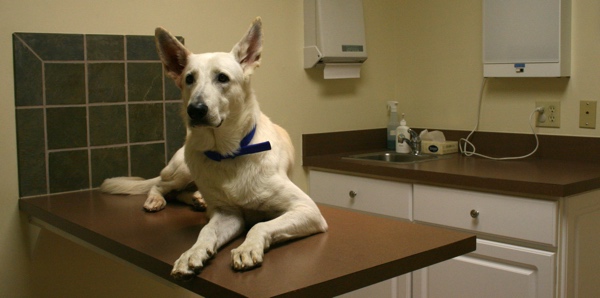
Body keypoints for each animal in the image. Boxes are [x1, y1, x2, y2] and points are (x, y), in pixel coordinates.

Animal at [147, 18, 326, 280]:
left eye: (222, 78)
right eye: (189, 79)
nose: (196, 110)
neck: (228, 152)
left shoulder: (307, 209)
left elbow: (260, 224)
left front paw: (247, 247)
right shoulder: (227, 214)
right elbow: (206, 232)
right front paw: (192, 253)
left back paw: (196, 199)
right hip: (183, 168)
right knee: (160, 185)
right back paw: (157, 200)